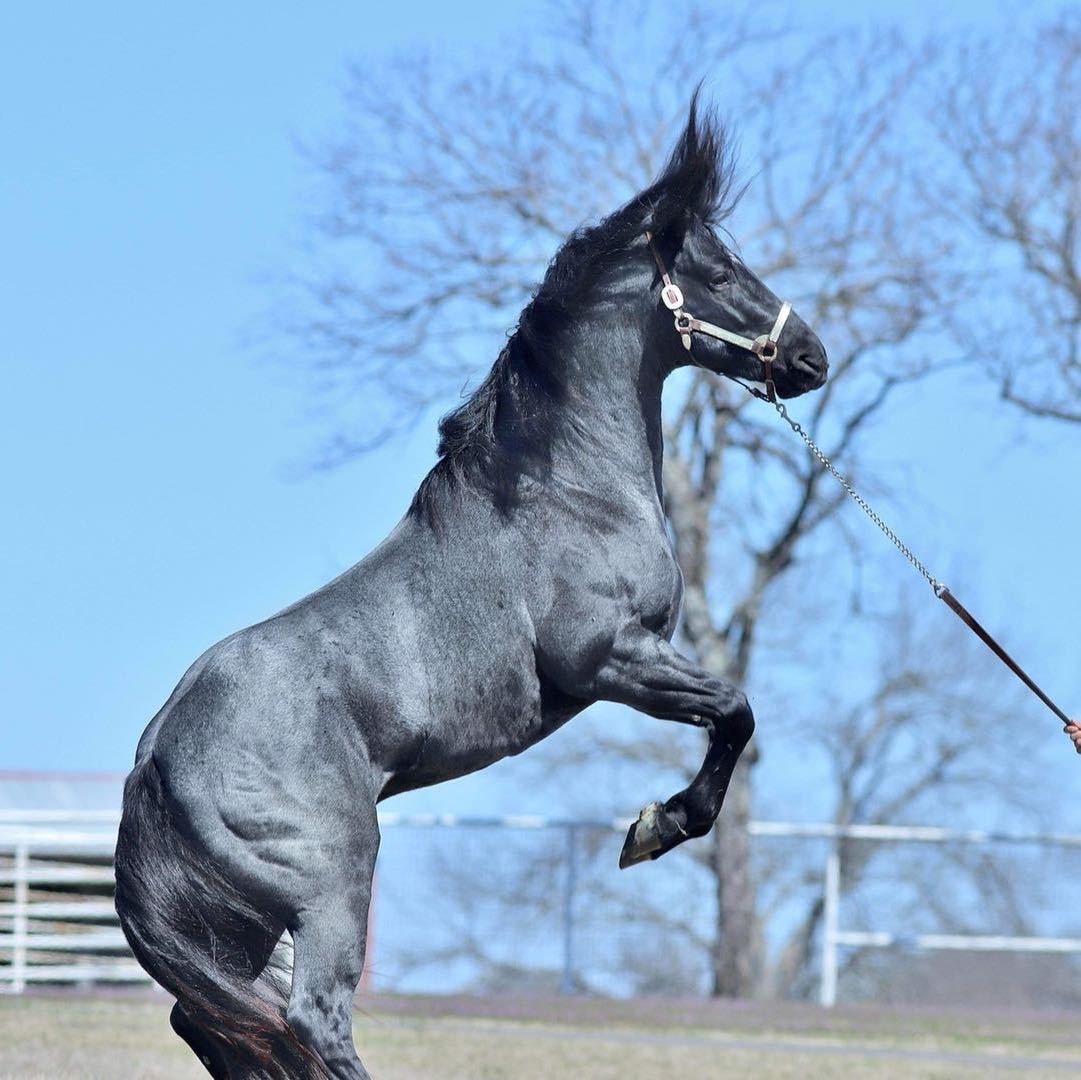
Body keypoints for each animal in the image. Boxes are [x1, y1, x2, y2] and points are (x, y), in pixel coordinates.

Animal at [114, 99, 828, 1080]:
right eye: (717, 270)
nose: (811, 356)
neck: (562, 491)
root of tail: (156, 756)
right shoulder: (610, 660)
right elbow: (734, 712)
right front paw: (655, 827)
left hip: (243, 924)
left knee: (219, 1026)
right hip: (331, 884)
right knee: (310, 1021)